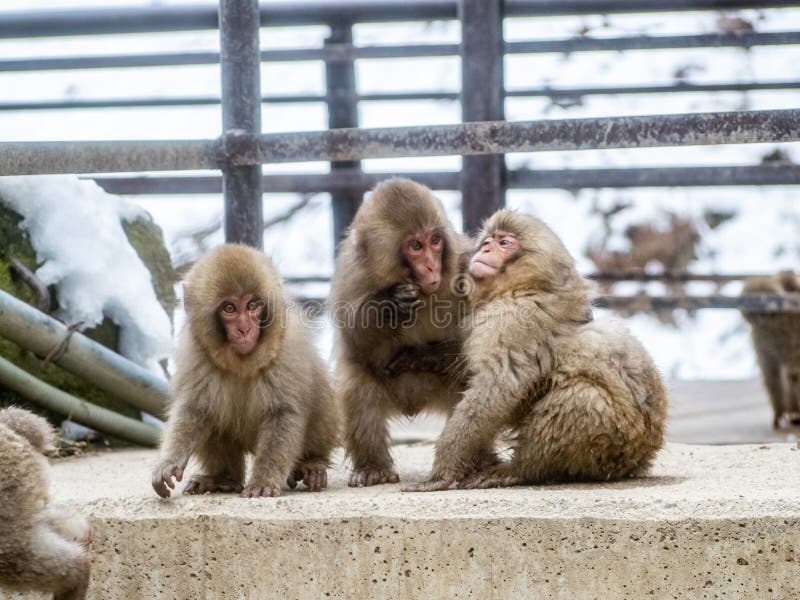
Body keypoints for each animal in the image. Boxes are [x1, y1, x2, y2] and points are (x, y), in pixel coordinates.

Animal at [152, 241, 340, 500]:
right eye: (230, 308)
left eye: (253, 305)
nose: (244, 329)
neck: (242, 362)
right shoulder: (196, 352)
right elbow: (194, 409)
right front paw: (168, 462)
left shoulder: (287, 350)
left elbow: (283, 412)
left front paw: (263, 480)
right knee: (214, 411)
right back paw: (224, 479)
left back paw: (312, 465)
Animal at [332, 178, 482, 488]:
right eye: (415, 245)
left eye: (435, 241)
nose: (432, 266)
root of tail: (412, 406)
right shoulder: (351, 274)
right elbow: (353, 340)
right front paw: (390, 306)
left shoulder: (466, 265)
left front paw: (424, 355)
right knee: (355, 380)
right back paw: (373, 468)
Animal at [400, 209, 668, 490]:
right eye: (488, 240)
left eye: (504, 243)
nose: (485, 249)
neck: (526, 289)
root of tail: (641, 458)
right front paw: (426, 356)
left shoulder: (513, 321)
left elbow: (495, 390)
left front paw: (443, 470)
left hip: (613, 442)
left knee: (580, 396)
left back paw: (521, 469)